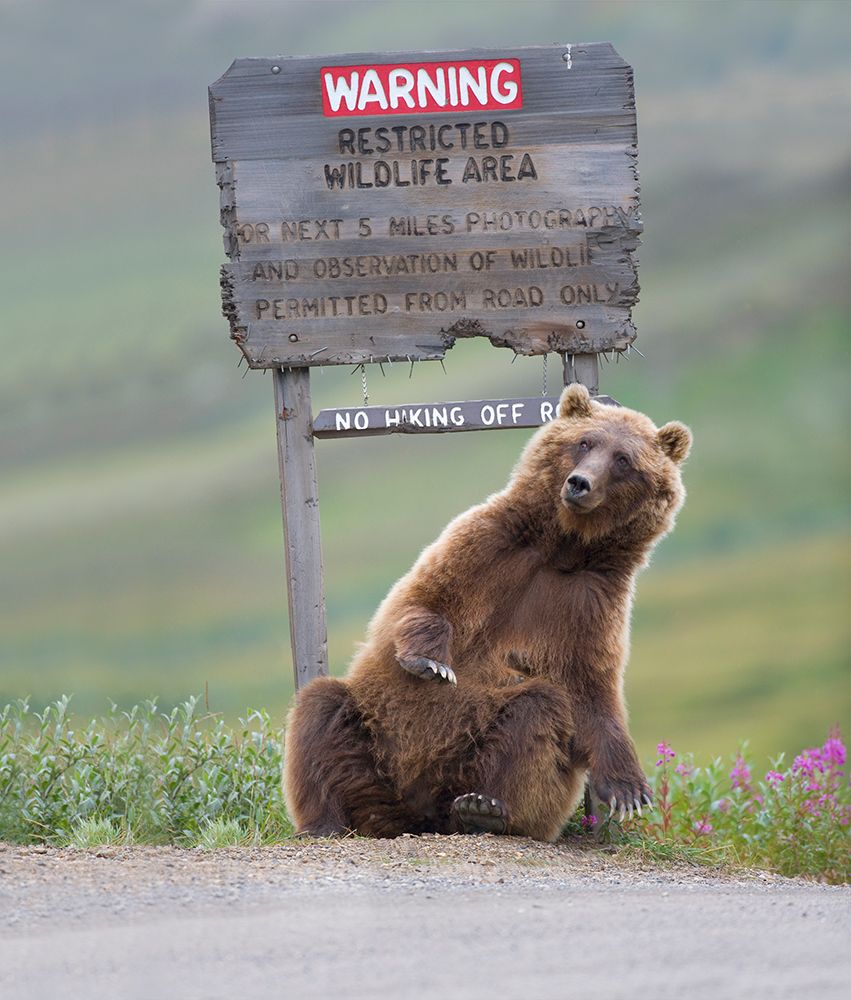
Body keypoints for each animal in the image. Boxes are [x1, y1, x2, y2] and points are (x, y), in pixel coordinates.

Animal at [284, 382, 691, 842]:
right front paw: (433, 662)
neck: (562, 548)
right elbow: (424, 599)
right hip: (374, 730)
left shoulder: (590, 599)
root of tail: (416, 817)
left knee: (537, 710)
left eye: (623, 459)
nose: (579, 483)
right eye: (584, 442)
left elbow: (590, 684)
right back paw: (324, 821)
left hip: (473, 755)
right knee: (321, 711)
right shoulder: (490, 545)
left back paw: (484, 808)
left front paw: (628, 788)